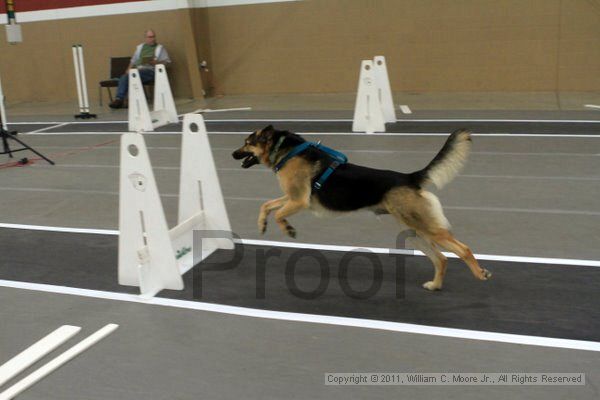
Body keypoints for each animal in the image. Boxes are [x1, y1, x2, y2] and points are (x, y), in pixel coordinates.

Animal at [232, 126, 490, 290]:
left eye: (247, 143)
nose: (232, 154)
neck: (288, 151)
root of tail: (409, 177)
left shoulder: (299, 201)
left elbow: (279, 214)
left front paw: (288, 229)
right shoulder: (291, 197)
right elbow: (266, 205)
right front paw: (262, 224)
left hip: (426, 229)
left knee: (463, 249)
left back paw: (479, 273)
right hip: (414, 233)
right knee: (441, 259)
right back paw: (435, 285)